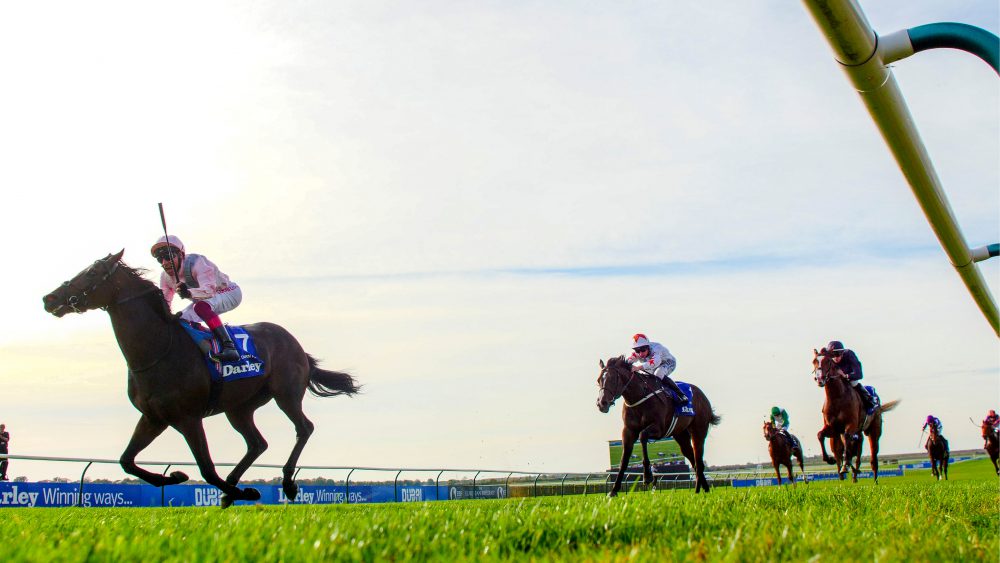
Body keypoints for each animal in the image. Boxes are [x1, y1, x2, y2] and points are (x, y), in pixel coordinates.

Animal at [45, 251, 364, 506]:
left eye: (93, 272)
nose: (50, 298)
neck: (158, 350)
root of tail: (296, 344)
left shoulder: (188, 417)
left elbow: (207, 469)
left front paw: (242, 491)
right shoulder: (154, 417)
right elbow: (127, 461)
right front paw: (174, 476)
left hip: (285, 394)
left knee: (304, 428)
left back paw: (285, 482)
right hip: (240, 408)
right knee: (257, 443)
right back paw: (233, 485)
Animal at [592, 360, 720, 496]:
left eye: (612, 379)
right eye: (598, 380)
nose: (601, 403)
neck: (640, 396)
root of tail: (702, 396)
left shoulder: (659, 428)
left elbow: (643, 436)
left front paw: (647, 476)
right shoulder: (628, 431)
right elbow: (624, 460)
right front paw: (613, 491)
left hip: (699, 430)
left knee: (699, 459)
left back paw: (702, 490)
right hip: (681, 435)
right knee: (693, 460)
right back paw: (700, 490)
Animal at [812, 348, 900, 484]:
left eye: (828, 361)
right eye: (814, 361)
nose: (819, 379)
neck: (837, 397)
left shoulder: (851, 425)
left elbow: (847, 439)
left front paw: (846, 465)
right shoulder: (833, 428)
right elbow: (820, 435)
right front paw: (829, 459)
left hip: (874, 432)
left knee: (873, 458)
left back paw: (874, 480)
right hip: (857, 433)